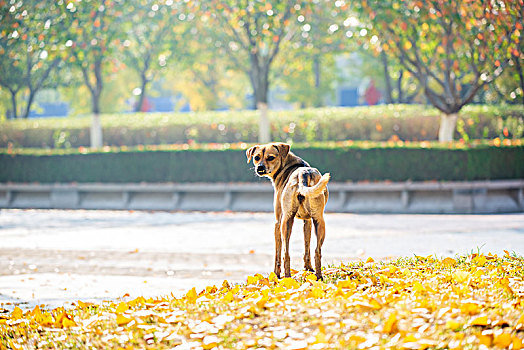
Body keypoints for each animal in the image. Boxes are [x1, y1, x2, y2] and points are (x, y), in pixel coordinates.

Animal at [247, 142, 330, 278]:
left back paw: (287, 277)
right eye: (256, 157)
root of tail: (303, 174)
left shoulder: (277, 222)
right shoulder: (307, 221)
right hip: (319, 221)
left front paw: (276, 275)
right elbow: (307, 247)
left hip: (285, 222)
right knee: (317, 251)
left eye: (270, 157)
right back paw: (318, 277)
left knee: (286, 253)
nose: (260, 168)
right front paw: (308, 269)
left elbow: (278, 253)